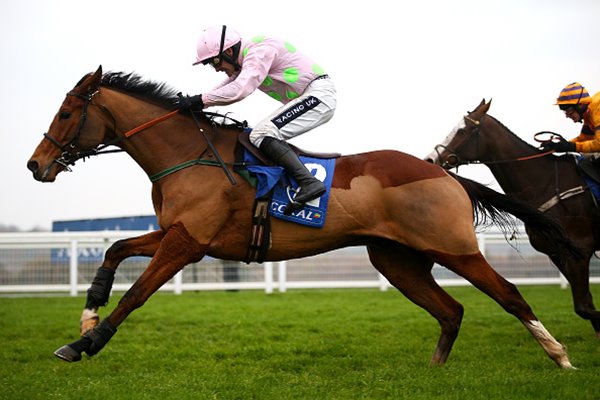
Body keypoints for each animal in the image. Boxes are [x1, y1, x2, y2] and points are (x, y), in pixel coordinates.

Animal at [27, 66, 576, 368]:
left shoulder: (187, 243)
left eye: (65, 113)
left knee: (509, 294)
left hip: (453, 248)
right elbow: (115, 248)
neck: (190, 155)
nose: (36, 165)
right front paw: (88, 311)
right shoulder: (179, 233)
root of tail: (442, 171)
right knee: (451, 311)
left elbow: (137, 294)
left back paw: (560, 356)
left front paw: (85, 342)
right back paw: (436, 371)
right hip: (396, 260)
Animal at [426, 98, 600, 336]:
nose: (430, 159)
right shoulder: (557, 253)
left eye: (462, 130)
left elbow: (584, 307)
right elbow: (587, 306)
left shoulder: (579, 251)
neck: (545, 182)